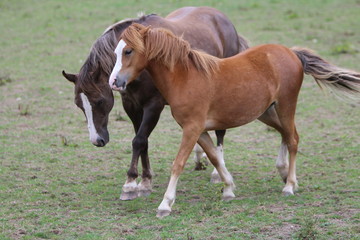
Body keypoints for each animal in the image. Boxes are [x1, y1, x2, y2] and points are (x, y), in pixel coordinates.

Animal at [62, 6, 248, 201]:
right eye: (79, 105)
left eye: (99, 101)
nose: (97, 140)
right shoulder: (132, 106)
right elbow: (143, 142)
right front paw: (145, 182)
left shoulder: (153, 106)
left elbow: (139, 141)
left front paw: (130, 184)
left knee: (220, 132)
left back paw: (217, 172)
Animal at [112, 23, 360, 217]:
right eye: (116, 51)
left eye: (129, 51)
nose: (115, 82)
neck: (186, 78)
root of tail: (291, 53)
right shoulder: (199, 130)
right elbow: (215, 157)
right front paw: (229, 189)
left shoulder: (191, 129)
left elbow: (178, 163)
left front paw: (165, 204)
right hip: (266, 112)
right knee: (285, 134)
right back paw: (283, 172)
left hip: (286, 105)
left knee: (293, 139)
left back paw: (289, 185)